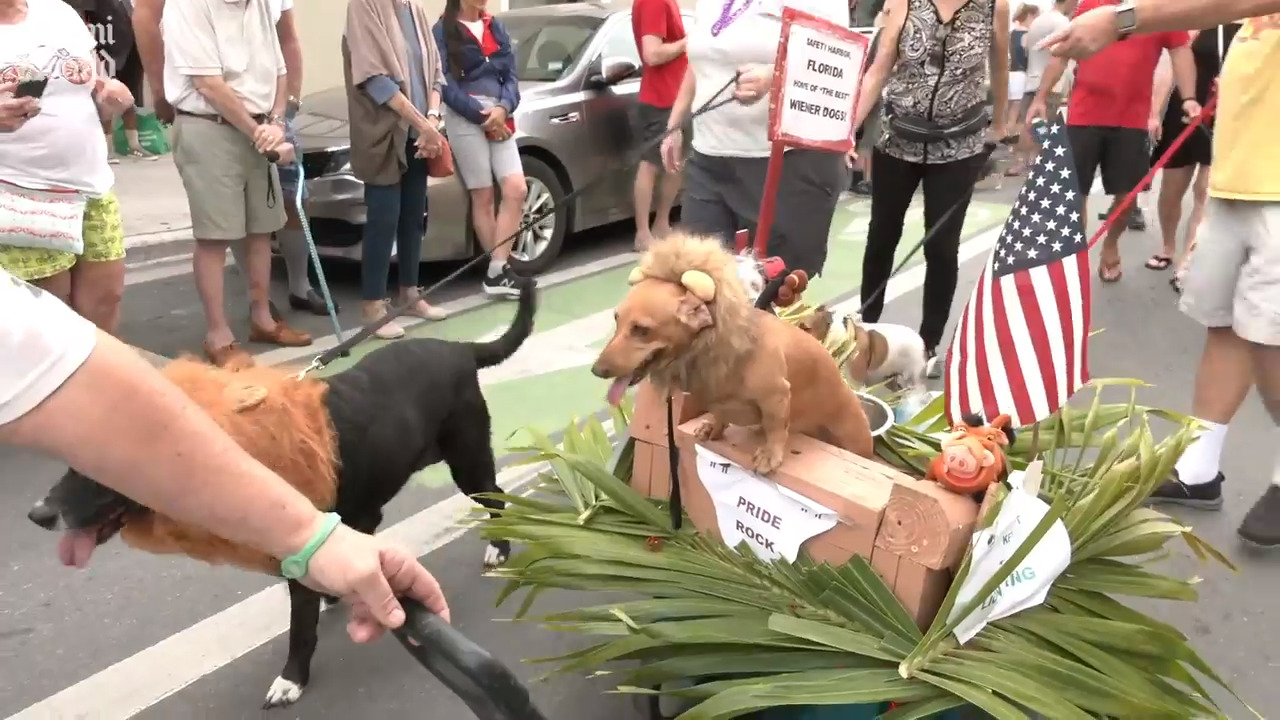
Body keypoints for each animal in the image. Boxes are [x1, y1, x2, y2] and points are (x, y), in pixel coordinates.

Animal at [26, 278, 535, 702]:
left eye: (99, 469)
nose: (37, 514)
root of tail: (461, 350)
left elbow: (300, 629)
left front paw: (291, 680)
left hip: (468, 464)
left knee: (497, 496)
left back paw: (500, 548)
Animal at [591, 233, 875, 474]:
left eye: (642, 330)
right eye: (616, 319)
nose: (596, 370)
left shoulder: (777, 396)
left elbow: (776, 427)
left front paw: (770, 454)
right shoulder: (716, 400)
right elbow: (719, 415)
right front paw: (714, 427)